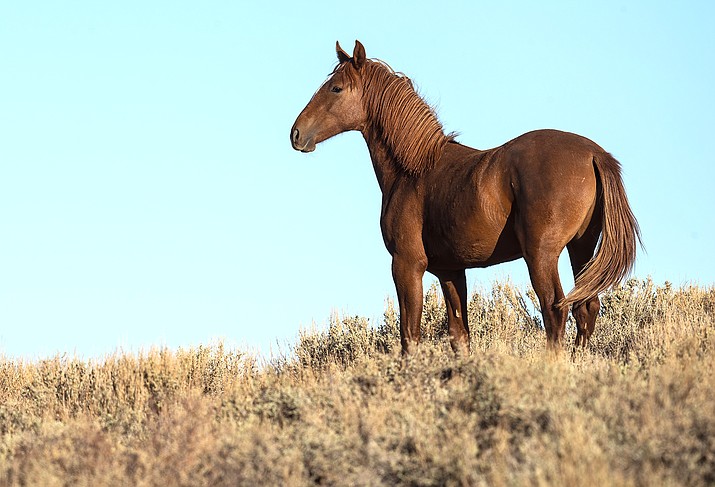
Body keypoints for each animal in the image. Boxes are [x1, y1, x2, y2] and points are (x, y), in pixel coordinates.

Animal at [290, 41, 644, 354]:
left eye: (336, 88)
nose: (296, 134)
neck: (414, 169)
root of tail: (594, 154)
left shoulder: (407, 265)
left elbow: (409, 336)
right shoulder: (450, 271)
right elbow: (459, 335)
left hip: (541, 254)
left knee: (555, 310)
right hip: (580, 248)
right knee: (586, 308)